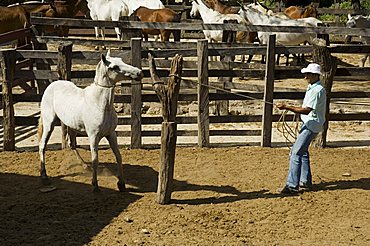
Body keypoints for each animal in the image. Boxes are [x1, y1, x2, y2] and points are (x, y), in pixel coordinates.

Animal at [38, 50, 143, 192]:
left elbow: (118, 156)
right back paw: (44, 176)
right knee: (42, 145)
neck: (101, 105)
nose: (139, 73)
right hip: (49, 124)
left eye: (121, 60)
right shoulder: (93, 136)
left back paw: (83, 166)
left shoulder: (111, 134)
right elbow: (95, 159)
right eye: (114, 67)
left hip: (71, 127)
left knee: (72, 145)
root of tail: (52, 85)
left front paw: (121, 184)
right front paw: (95, 185)